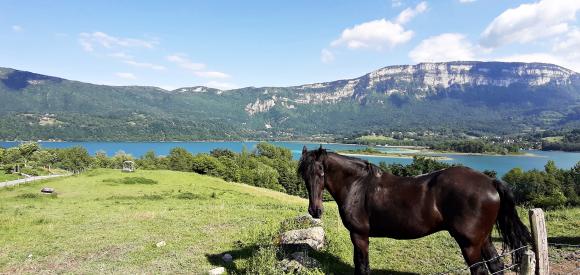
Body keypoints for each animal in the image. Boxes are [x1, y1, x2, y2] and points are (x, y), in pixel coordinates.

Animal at [300, 147, 532, 275]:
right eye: (303, 173)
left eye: (321, 172)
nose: (315, 210)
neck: (358, 185)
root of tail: (490, 182)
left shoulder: (359, 235)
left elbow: (362, 266)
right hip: (483, 239)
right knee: (496, 265)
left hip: (469, 244)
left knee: (481, 270)